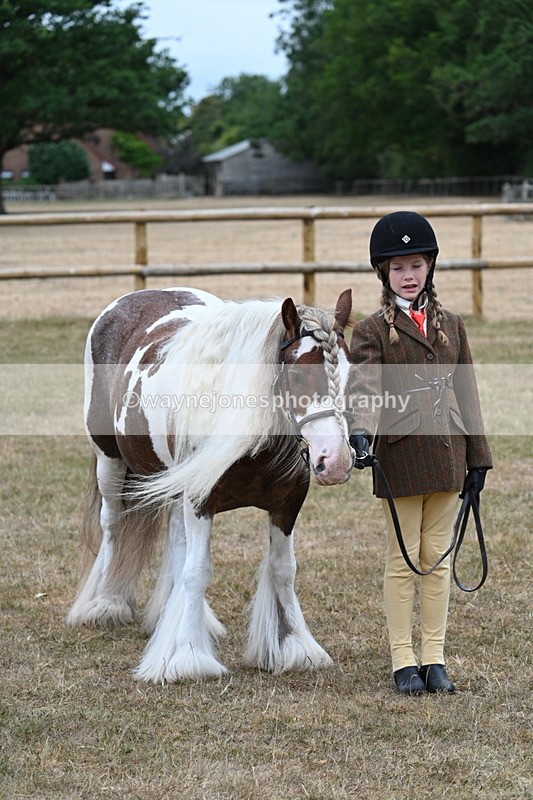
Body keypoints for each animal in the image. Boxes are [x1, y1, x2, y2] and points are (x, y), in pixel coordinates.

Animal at [67, 286, 355, 683]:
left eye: (350, 373)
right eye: (297, 375)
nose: (336, 461)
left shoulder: (287, 505)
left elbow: (283, 570)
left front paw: (294, 647)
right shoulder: (199, 502)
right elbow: (198, 571)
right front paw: (188, 656)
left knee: (176, 539)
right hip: (109, 462)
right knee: (113, 525)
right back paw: (105, 603)